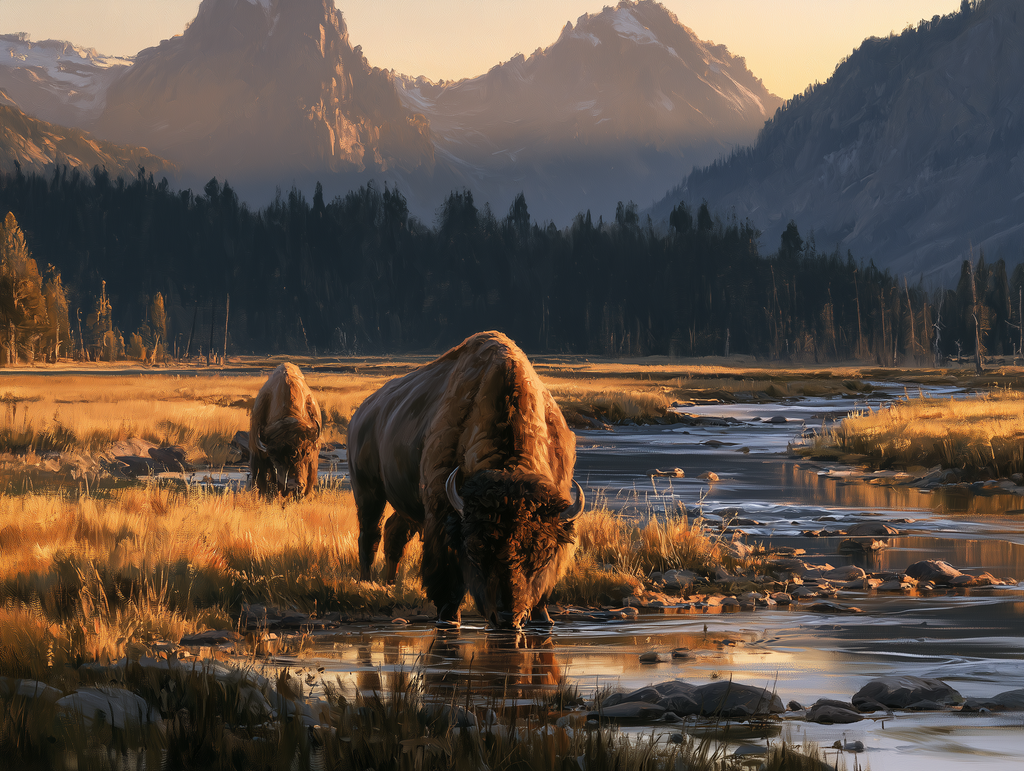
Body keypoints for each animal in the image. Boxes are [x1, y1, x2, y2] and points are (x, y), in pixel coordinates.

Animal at [347, 331, 583, 629]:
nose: (507, 617)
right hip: (368, 490)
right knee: (370, 534)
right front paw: (448, 618)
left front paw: (543, 618)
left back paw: (390, 585)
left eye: (540, 552)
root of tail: (361, 413)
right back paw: (367, 584)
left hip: (409, 503)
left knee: (394, 533)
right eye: (477, 550)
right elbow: (445, 571)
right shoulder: (440, 514)